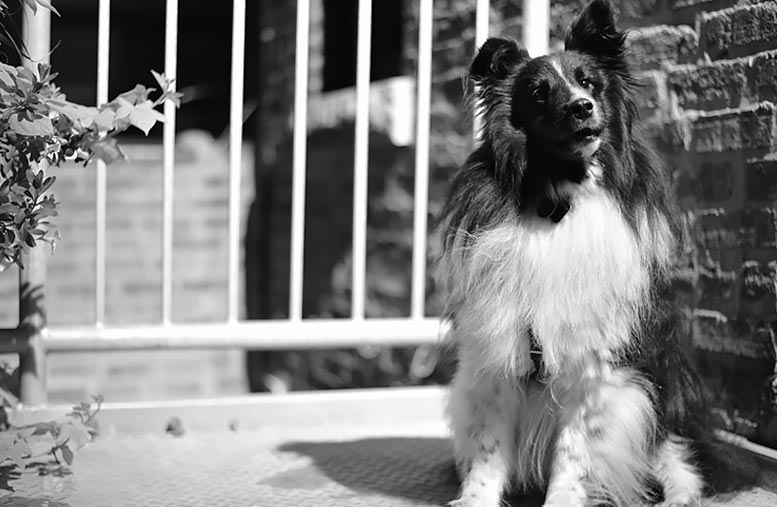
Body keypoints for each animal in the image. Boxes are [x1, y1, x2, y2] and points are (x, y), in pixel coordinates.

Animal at [434, 1, 712, 506]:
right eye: (538, 93)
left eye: (590, 82)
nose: (582, 106)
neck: (559, 200)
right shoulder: (497, 356)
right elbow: (487, 452)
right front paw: (476, 498)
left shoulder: (597, 365)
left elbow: (576, 452)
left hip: (665, 390)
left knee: (676, 454)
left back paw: (679, 493)